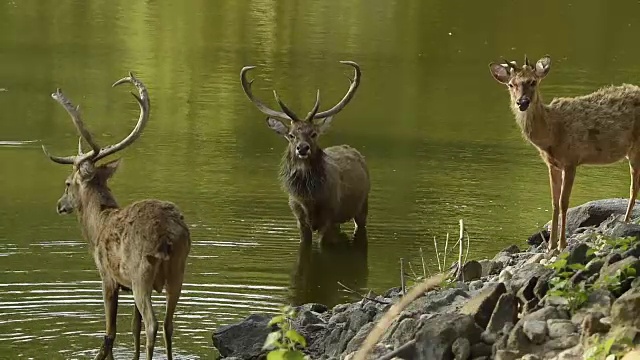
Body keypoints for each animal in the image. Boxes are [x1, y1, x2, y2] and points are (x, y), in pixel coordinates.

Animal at [41, 72, 191, 358]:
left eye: (67, 183)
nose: (59, 205)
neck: (97, 225)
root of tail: (168, 236)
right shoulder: (128, 284)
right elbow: (133, 327)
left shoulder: (107, 276)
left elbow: (110, 331)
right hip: (179, 268)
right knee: (169, 323)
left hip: (142, 271)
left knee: (154, 324)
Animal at [240, 62, 370, 246]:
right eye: (291, 135)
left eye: (313, 134)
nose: (302, 148)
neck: (308, 199)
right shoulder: (299, 217)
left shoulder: (329, 215)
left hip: (363, 205)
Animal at [488, 56, 640, 252]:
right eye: (511, 84)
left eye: (533, 81)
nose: (522, 102)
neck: (551, 134)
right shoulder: (552, 165)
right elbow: (553, 202)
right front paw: (550, 245)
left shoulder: (571, 160)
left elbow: (564, 202)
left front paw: (562, 244)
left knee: (633, 187)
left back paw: (626, 221)